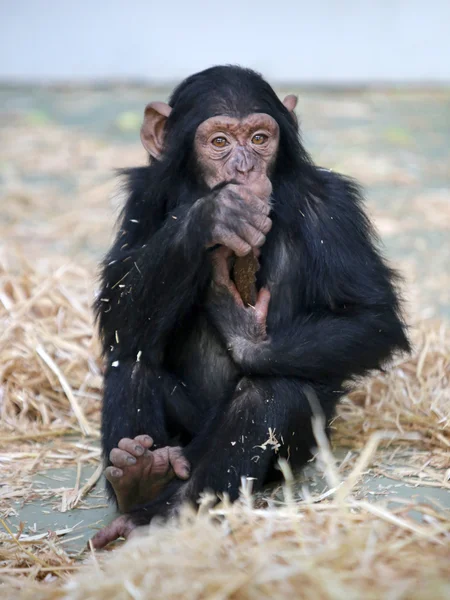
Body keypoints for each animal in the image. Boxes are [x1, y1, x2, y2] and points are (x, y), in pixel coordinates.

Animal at [90, 67, 408, 548]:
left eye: (260, 138)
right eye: (220, 141)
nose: (245, 167)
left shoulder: (332, 206)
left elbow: (371, 315)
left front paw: (239, 327)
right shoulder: (142, 197)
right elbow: (117, 308)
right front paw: (214, 215)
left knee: (269, 391)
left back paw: (169, 509)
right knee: (132, 359)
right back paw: (139, 477)